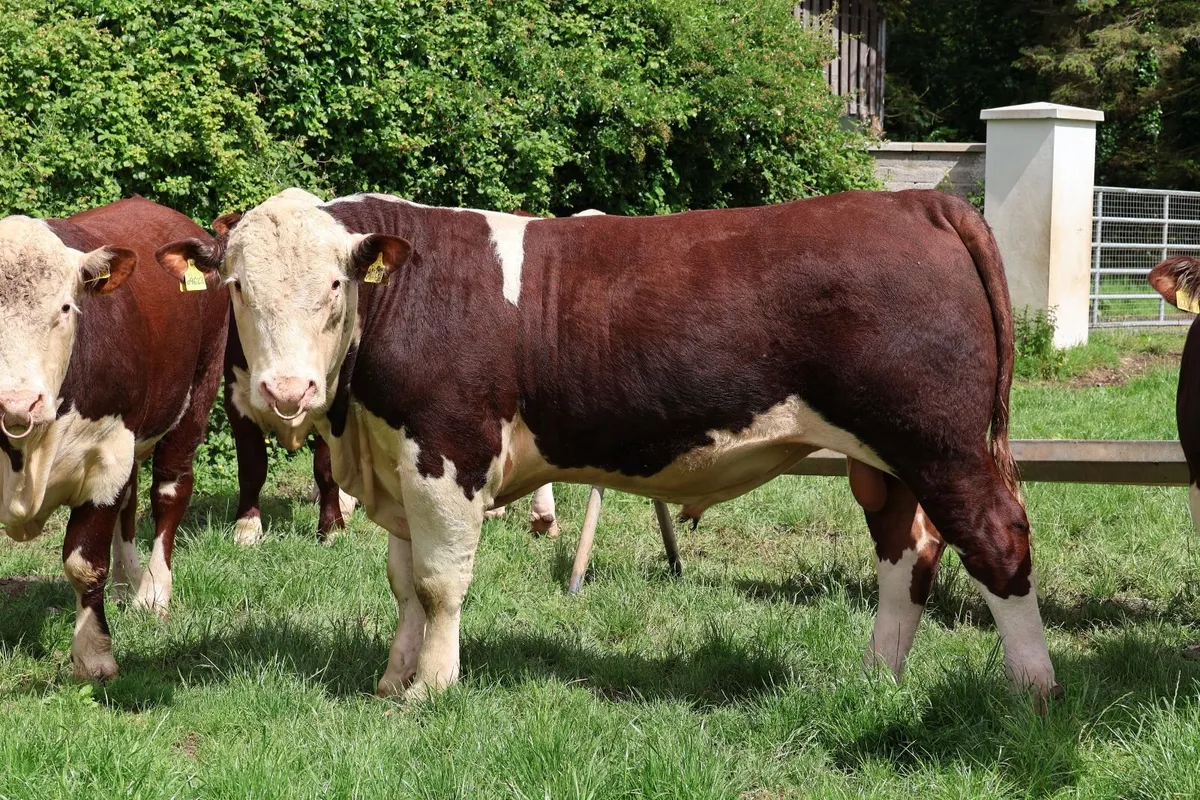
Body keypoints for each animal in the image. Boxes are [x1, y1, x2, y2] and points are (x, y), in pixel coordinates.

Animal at [0, 197, 227, 681]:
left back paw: (154, 591)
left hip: (197, 393)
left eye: (66, 308)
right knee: (130, 503)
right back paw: (128, 582)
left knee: (168, 492)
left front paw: (94, 655)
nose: (18, 402)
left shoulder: (105, 457)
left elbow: (85, 564)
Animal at [157, 187, 1059, 706]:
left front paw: (432, 691)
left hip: (941, 443)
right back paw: (877, 681)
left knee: (997, 541)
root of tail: (915, 200)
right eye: (237, 287)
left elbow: (442, 585)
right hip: (884, 461)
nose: (286, 392)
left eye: (336, 285)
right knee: (907, 555)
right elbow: (405, 584)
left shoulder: (449, 451)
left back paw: (1033, 691)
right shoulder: (401, 462)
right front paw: (392, 679)